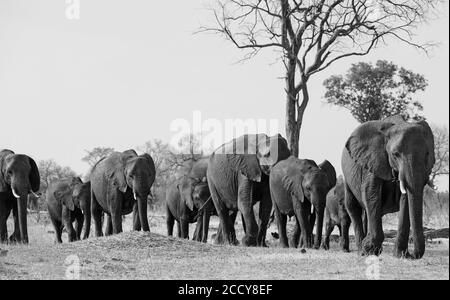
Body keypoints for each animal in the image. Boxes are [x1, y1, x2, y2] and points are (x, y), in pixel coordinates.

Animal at [342, 115, 436, 258]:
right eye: (395, 154)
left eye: (427, 154)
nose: (413, 255)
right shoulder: (373, 161)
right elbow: (371, 194)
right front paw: (368, 249)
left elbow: (405, 199)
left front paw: (401, 255)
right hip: (347, 178)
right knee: (353, 207)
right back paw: (362, 251)